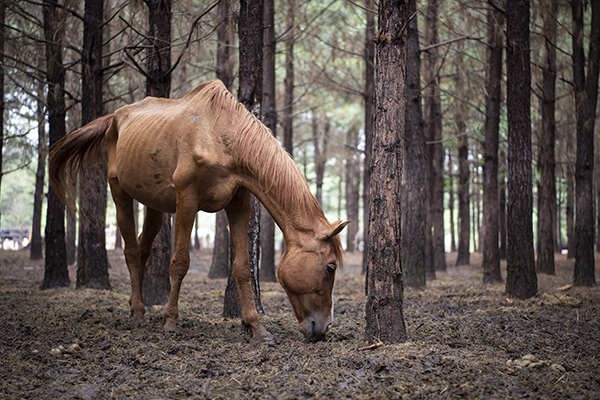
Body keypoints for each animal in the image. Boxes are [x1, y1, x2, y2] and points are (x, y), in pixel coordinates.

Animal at [49, 79, 350, 342]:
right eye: (331, 267)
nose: (324, 327)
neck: (219, 136)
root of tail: (114, 117)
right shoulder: (187, 201)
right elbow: (180, 262)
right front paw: (170, 320)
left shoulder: (239, 203)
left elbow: (242, 267)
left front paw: (255, 326)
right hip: (120, 194)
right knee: (132, 252)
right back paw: (137, 313)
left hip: (155, 207)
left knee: (144, 249)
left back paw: (138, 301)